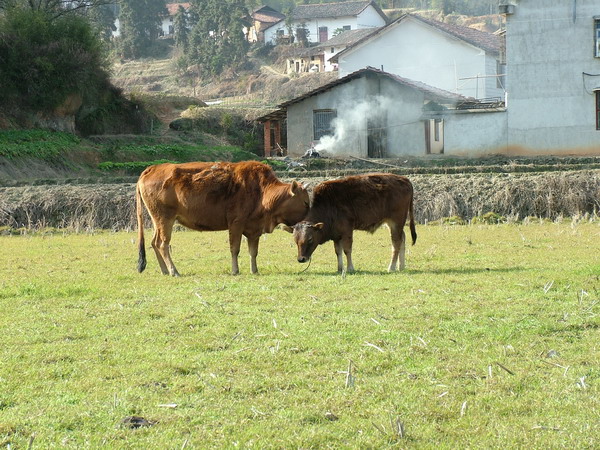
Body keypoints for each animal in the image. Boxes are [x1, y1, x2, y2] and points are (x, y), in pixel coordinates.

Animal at [137, 160, 310, 276]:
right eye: (305, 202)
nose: (309, 220)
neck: (262, 190)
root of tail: (151, 169)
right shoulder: (236, 224)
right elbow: (235, 249)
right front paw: (235, 270)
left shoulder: (254, 230)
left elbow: (253, 252)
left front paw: (254, 270)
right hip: (165, 219)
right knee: (163, 244)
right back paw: (173, 271)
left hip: (158, 221)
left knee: (154, 243)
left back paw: (165, 270)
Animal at [284, 173, 414, 272]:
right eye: (295, 240)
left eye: (310, 239)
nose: (301, 259)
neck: (328, 205)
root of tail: (404, 179)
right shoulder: (336, 235)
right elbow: (338, 252)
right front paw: (340, 268)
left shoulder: (347, 231)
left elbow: (347, 250)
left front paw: (350, 268)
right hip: (393, 224)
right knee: (403, 238)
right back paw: (401, 266)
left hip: (396, 222)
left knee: (396, 243)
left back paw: (391, 267)